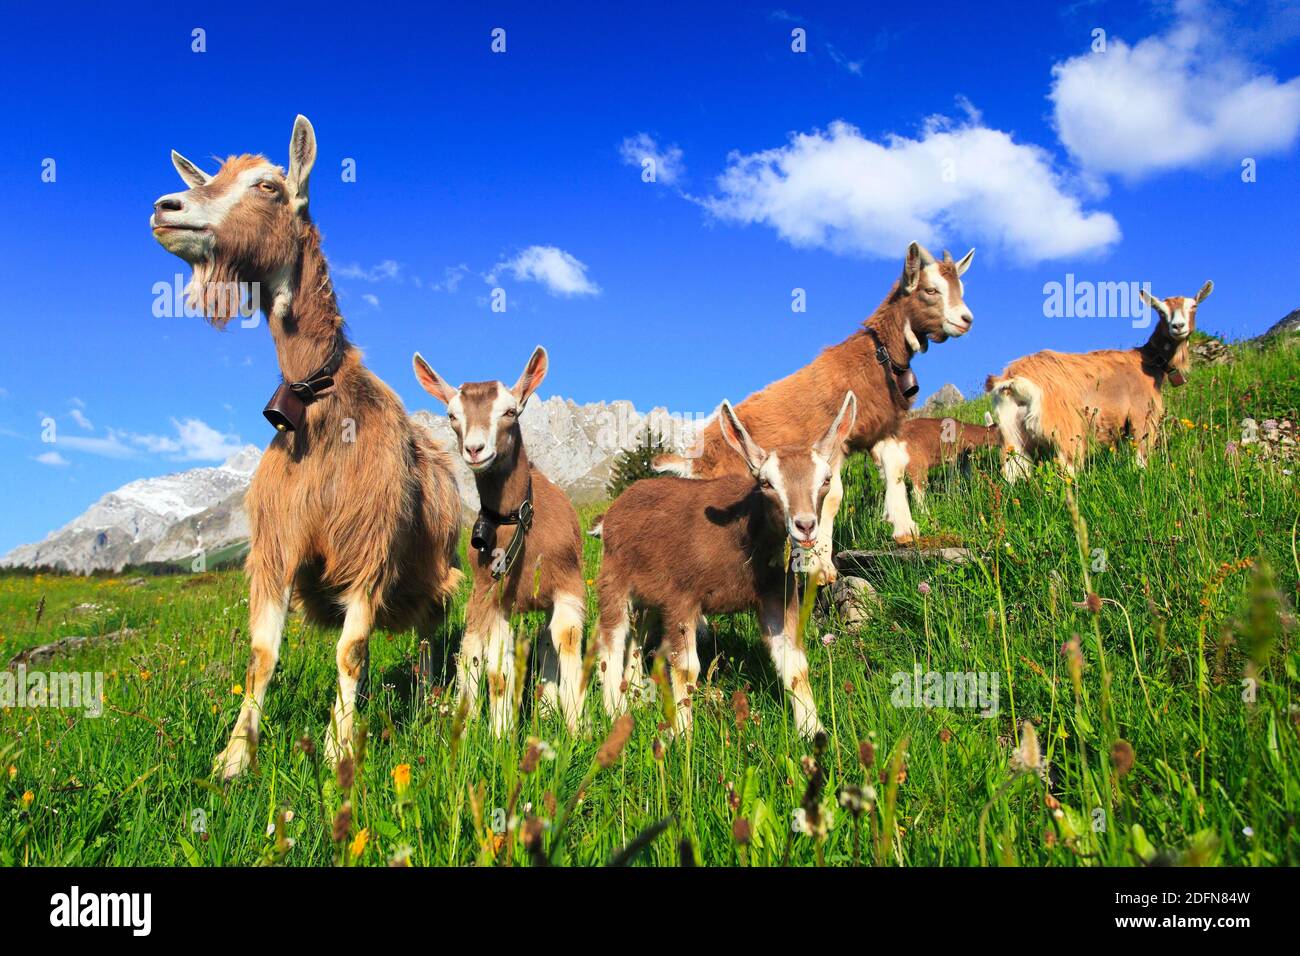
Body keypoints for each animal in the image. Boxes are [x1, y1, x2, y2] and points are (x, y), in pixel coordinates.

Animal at [151, 117, 462, 780]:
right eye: (212, 177)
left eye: (268, 186)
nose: (166, 208)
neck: (319, 407)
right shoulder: (276, 547)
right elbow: (262, 655)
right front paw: (234, 757)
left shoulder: (368, 547)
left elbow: (351, 651)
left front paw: (341, 748)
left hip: (437, 564)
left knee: (431, 626)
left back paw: (433, 698)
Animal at [410, 348, 585, 738]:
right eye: (452, 415)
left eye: (510, 411)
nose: (475, 449)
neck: (521, 523)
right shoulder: (493, 596)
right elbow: (497, 668)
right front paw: (501, 735)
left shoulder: (569, 584)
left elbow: (565, 642)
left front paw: (580, 729)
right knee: (470, 651)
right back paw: (468, 718)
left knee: (545, 643)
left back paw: (547, 711)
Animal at [595, 392, 857, 738]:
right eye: (765, 483)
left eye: (826, 480)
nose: (805, 525)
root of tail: (612, 511)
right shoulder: (681, 596)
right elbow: (686, 668)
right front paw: (683, 736)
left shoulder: (777, 594)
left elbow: (795, 664)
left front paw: (814, 732)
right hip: (614, 579)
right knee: (611, 640)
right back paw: (614, 709)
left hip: (648, 598)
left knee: (636, 637)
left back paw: (636, 695)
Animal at [660, 243, 977, 564]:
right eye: (930, 290)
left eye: (961, 288)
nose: (966, 319)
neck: (877, 356)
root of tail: (692, 460)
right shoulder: (833, 439)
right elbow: (833, 495)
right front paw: (821, 562)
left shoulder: (879, 429)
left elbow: (896, 468)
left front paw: (905, 530)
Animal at [987, 282, 1211, 481]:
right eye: (1160, 311)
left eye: (1194, 306)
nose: (1178, 326)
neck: (1146, 361)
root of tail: (1014, 380)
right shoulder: (1142, 416)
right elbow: (1140, 458)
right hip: (1065, 429)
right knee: (1068, 469)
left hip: (1012, 435)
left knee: (1012, 471)